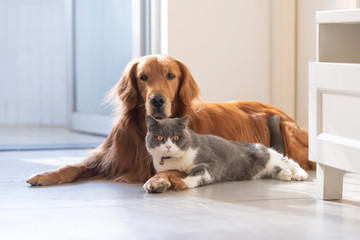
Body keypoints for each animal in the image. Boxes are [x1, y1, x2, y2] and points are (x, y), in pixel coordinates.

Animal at [143, 115, 306, 192]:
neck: (172, 160)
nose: (168, 146)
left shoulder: (211, 162)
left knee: (289, 161)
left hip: (269, 157)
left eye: (176, 138)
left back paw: (299, 174)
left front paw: (182, 183)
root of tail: (262, 145)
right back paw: (285, 174)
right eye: (160, 138)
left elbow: (200, 174)